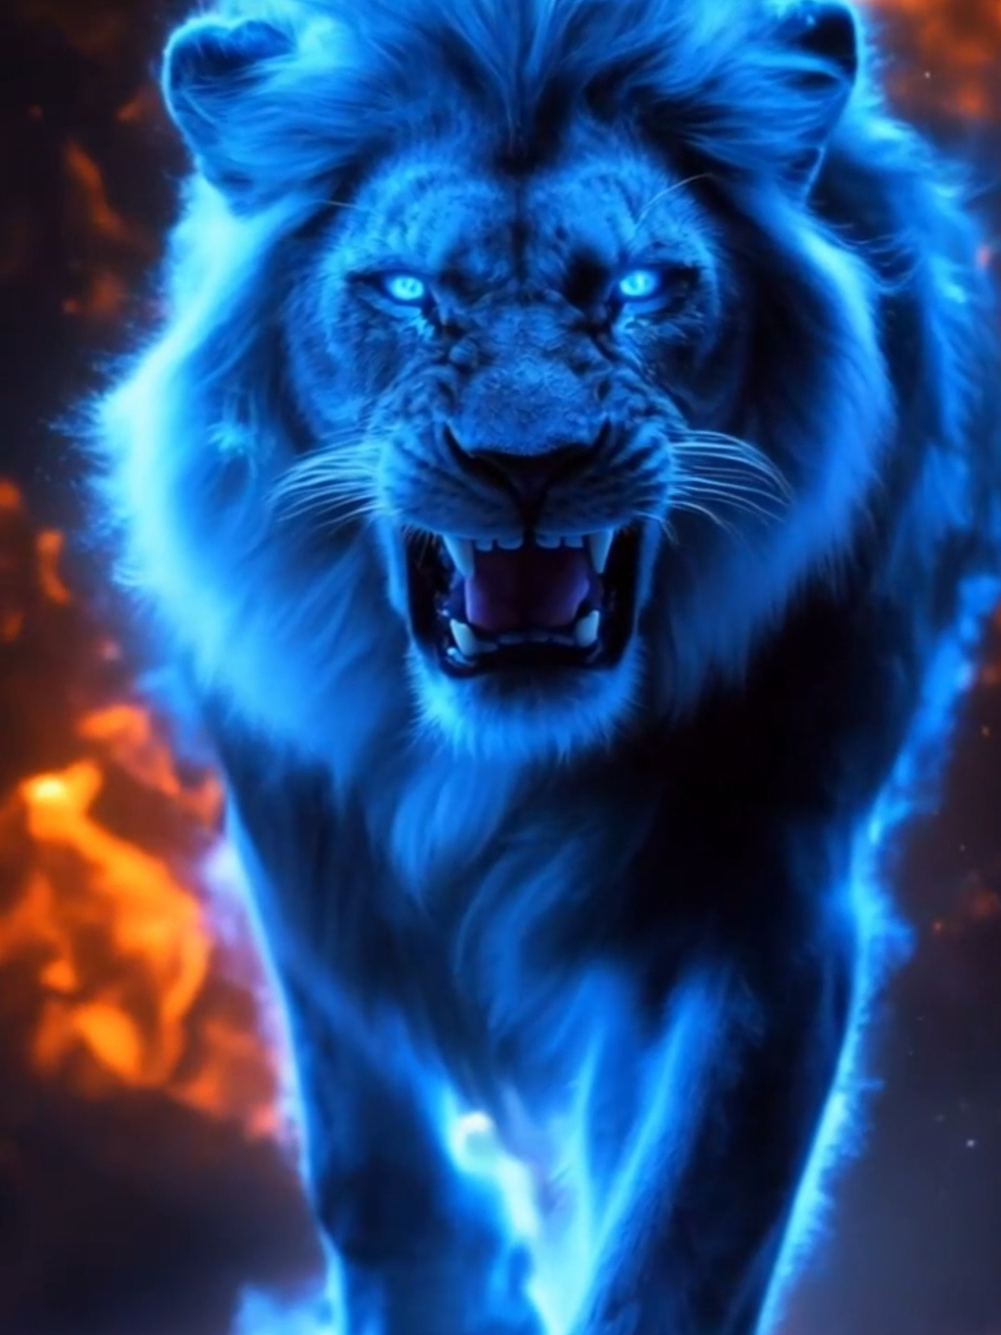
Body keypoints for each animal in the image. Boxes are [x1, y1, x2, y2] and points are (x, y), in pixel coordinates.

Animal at [92, 0, 1001, 1332]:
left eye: (637, 287)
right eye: (406, 292)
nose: (529, 465)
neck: (501, 762)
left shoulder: (769, 904)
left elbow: (681, 1241)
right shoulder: (309, 871)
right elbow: (380, 1177)